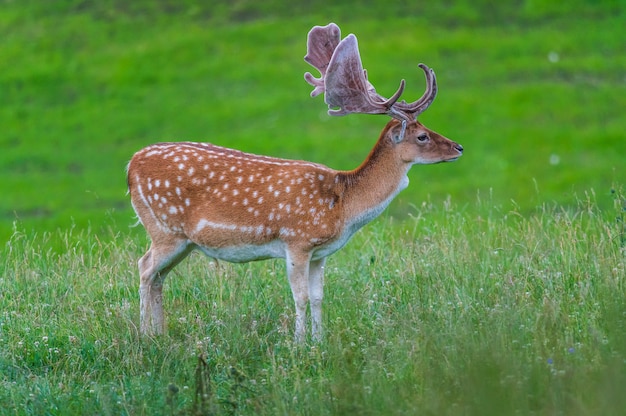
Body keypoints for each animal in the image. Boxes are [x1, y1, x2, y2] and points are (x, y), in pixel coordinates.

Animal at [127, 22, 460, 342]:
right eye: (422, 136)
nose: (459, 147)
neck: (342, 205)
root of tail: (130, 166)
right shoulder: (297, 240)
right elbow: (300, 297)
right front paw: (299, 345)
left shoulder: (319, 253)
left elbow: (319, 297)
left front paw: (319, 341)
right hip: (165, 228)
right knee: (145, 268)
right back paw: (145, 336)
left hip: (184, 241)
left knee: (158, 276)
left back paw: (160, 333)